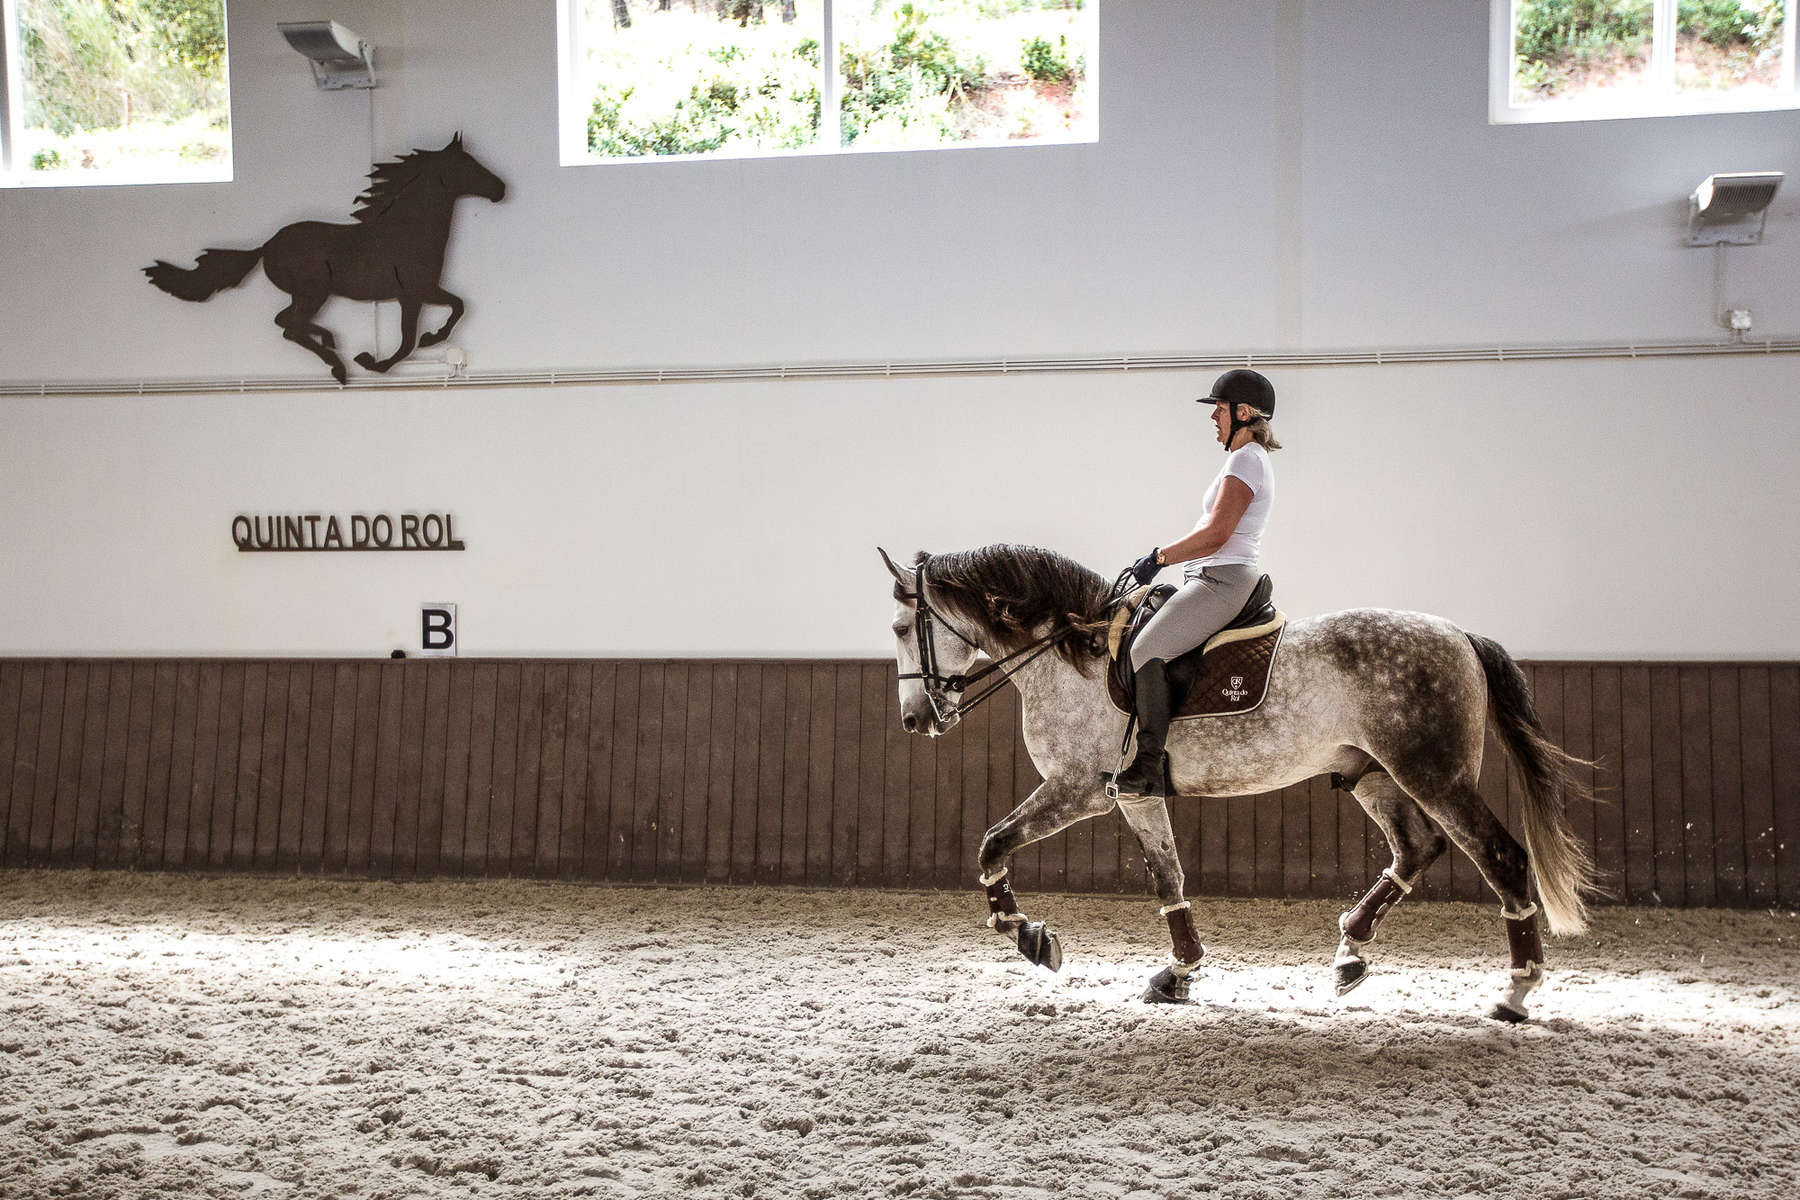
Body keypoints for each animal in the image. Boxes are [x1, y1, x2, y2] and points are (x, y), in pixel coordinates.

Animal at [878, 543, 1598, 1021]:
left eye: (900, 627)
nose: (915, 720)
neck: (1072, 657)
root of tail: (1459, 635)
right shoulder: (1132, 795)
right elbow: (1168, 880)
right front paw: (1177, 974)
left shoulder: (1077, 789)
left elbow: (993, 845)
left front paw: (1031, 938)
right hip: (1373, 773)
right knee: (1417, 849)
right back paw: (1351, 954)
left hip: (1433, 774)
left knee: (1500, 856)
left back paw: (1514, 991)